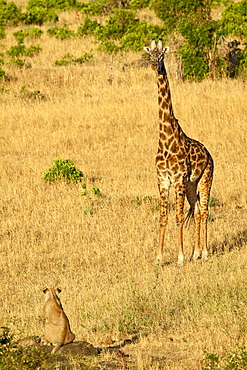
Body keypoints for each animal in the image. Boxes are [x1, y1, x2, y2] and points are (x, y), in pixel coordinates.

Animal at [144, 39, 213, 266]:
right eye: (149, 54)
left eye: (162, 55)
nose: (155, 65)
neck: (166, 139)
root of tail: (209, 154)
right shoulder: (163, 180)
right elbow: (163, 217)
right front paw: (159, 257)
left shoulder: (178, 179)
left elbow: (179, 217)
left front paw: (180, 258)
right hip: (192, 185)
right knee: (198, 210)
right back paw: (196, 253)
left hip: (205, 179)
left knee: (205, 210)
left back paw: (205, 253)